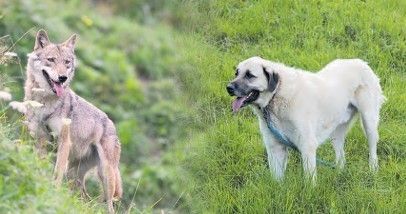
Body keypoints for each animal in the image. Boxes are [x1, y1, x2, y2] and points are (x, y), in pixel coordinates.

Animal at [23, 29, 121, 212]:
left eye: (67, 62)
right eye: (51, 60)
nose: (62, 78)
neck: (45, 103)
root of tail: (112, 124)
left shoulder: (64, 142)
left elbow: (56, 173)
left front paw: (52, 193)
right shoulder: (40, 139)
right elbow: (41, 164)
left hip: (106, 176)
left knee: (110, 205)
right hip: (74, 174)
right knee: (85, 198)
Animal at [227, 56, 386, 182]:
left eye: (250, 75)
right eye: (236, 73)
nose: (228, 87)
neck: (277, 93)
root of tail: (360, 62)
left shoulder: (307, 146)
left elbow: (309, 180)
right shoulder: (275, 147)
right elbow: (277, 180)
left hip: (369, 122)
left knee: (372, 148)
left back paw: (373, 169)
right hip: (336, 131)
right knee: (341, 155)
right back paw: (339, 173)